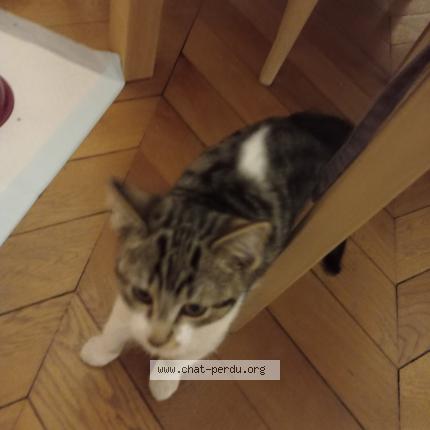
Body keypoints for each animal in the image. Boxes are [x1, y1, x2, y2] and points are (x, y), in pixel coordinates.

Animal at [80, 112, 351, 400]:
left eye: (194, 308)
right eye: (143, 294)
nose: (157, 340)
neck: (209, 205)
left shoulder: (218, 322)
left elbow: (191, 351)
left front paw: (164, 379)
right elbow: (120, 321)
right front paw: (102, 349)